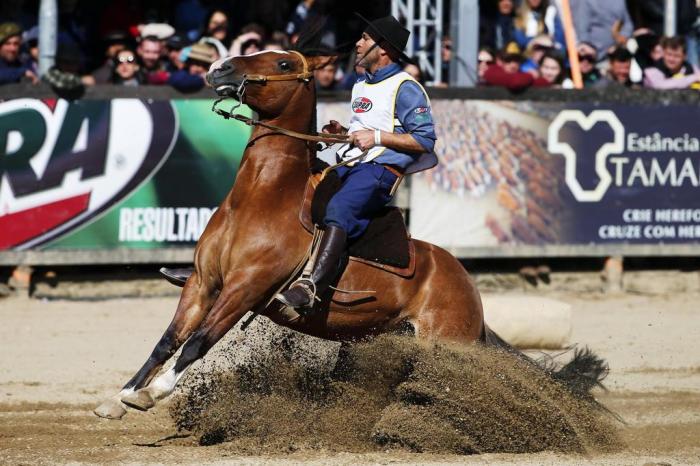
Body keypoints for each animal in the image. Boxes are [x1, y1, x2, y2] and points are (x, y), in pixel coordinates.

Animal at [94, 46, 608, 418]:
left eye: (284, 62)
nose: (220, 67)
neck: (260, 200)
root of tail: (469, 292)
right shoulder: (203, 283)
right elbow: (168, 339)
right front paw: (121, 396)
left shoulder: (245, 288)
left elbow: (199, 340)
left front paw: (156, 391)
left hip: (444, 345)